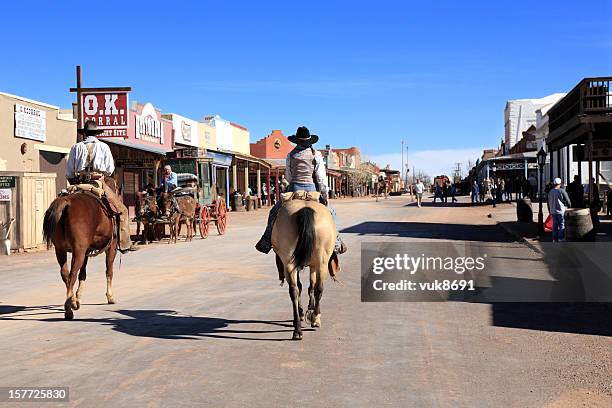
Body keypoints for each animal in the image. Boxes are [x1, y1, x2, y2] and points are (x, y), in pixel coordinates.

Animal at [42, 178, 118, 318]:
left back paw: (71, 301)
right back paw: (69, 308)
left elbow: (83, 273)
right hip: (78, 251)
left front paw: (78, 297)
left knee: (65, 274)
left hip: (60, 250)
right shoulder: (112, 247)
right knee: (72, 274)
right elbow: (109, 271)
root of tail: (66, 202)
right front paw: (110, 296)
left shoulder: (86, 251)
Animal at [272, 199, 340, 340]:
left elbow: (306, 286)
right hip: (322, 262)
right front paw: (310, 310)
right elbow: (311, 286)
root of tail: (305, 208)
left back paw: (297, 329)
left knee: (294, 290)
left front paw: (305, 311)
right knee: (318, 288)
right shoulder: (314, 265)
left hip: (289, 262)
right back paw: (315, 319)